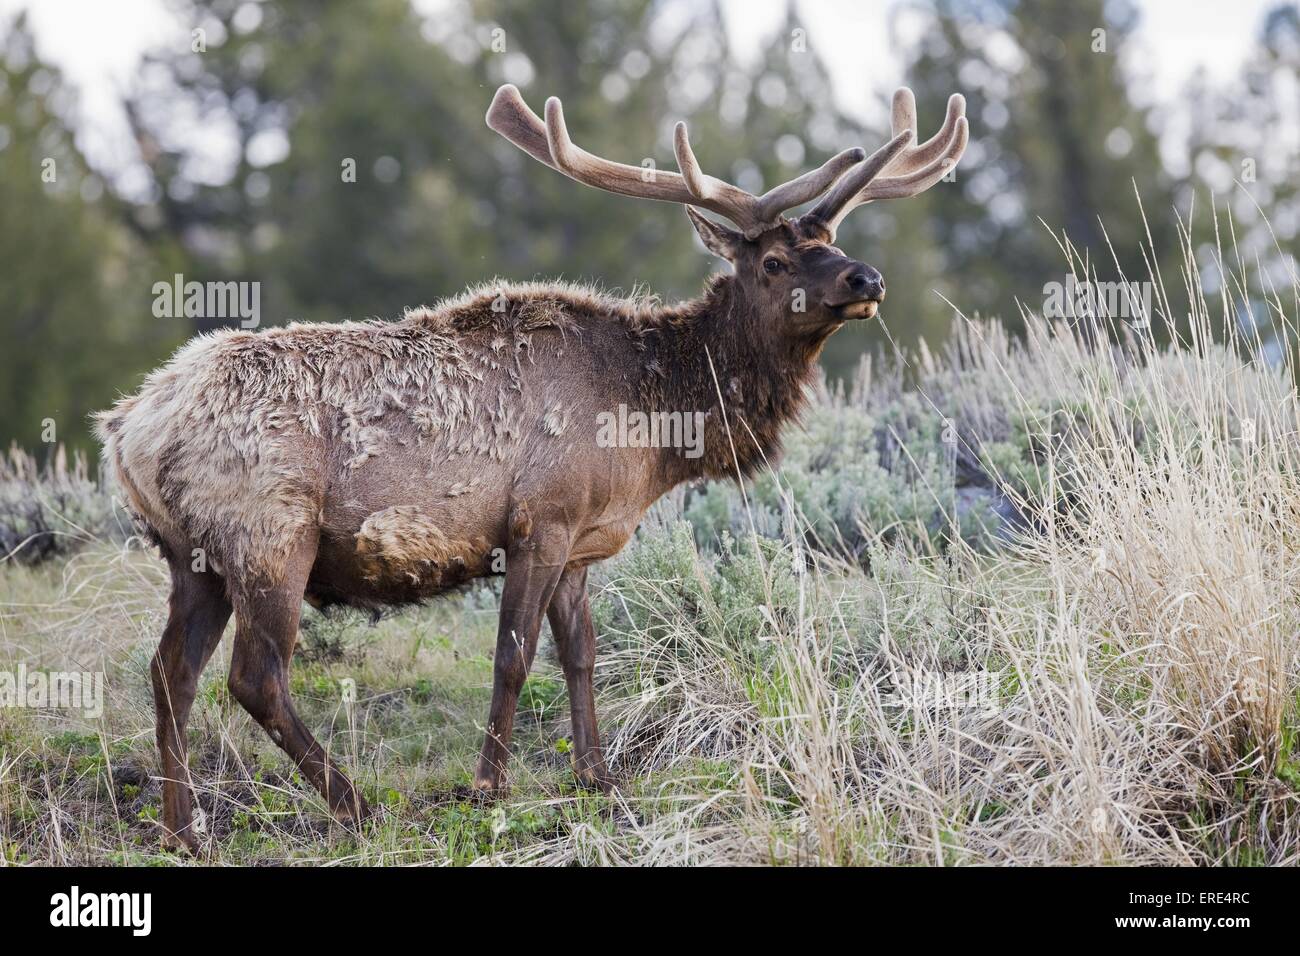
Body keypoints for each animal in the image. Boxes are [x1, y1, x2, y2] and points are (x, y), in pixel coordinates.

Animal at [94, 80, 967, 842]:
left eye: (832, 241)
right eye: (774, 263)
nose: (866, 277)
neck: (651, 427)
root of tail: (128, 427)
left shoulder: (582, 540)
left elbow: (581, 653)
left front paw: (597, 775)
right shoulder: (538, 520)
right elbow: (513, 658)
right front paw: (489, 787)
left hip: (193, 555)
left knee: (170, 674)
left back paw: (183, 829)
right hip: (269, 534)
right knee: (255, 675)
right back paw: (355, 804)